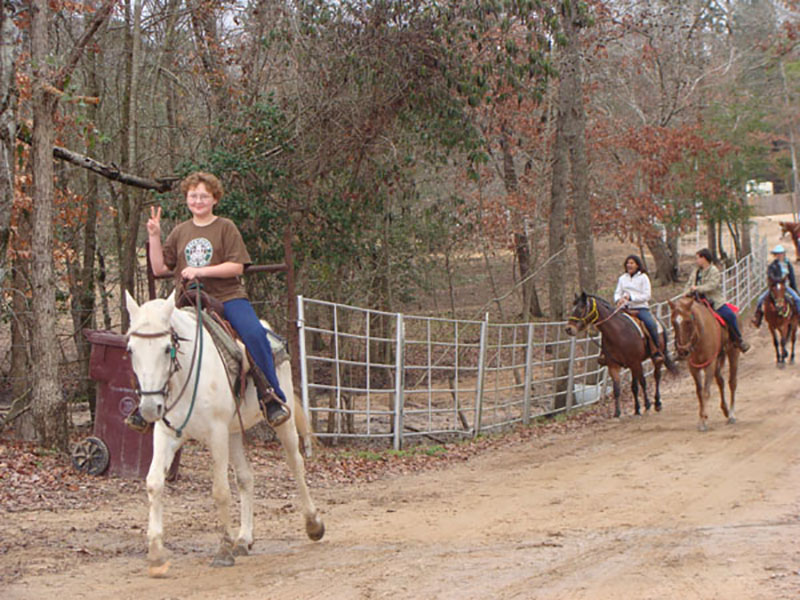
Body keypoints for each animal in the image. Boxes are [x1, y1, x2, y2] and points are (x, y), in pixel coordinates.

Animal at [125, 290, 324, 576]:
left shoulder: (216, 433)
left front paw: (222, 550)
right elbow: (154, 483)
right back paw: (244, 539)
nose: (150, 408)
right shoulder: (166, 434)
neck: (188, 374)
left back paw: (313, 524)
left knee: (295, 464)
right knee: (245, 477)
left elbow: (220, 491)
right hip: (234, 433)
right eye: (131, 349)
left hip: (280, 422)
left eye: (166, 348)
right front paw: (155, 552)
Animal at [564, 292, 676, 420]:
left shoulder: (635, 362)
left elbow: (642, 382)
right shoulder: (614, 366)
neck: (619, 333)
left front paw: (647, 404)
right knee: (636, 385)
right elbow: (617, 389)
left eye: (581, 308)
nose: (568, 329)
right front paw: (618, 412)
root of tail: (658, 321)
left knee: (656, 376)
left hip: (655, 357)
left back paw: (657, 403)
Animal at [668, 296, 736, 432]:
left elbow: (706, 391)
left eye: (688, 322)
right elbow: (699, 393)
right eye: (673, 323)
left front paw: (704, 421)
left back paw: (731, 414)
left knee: (732, 382)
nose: (682, 351)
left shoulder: (709, 364)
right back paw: (725, 410)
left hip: (732, 352)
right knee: (721, 382)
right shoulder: (693, 367)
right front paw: (701, 419)